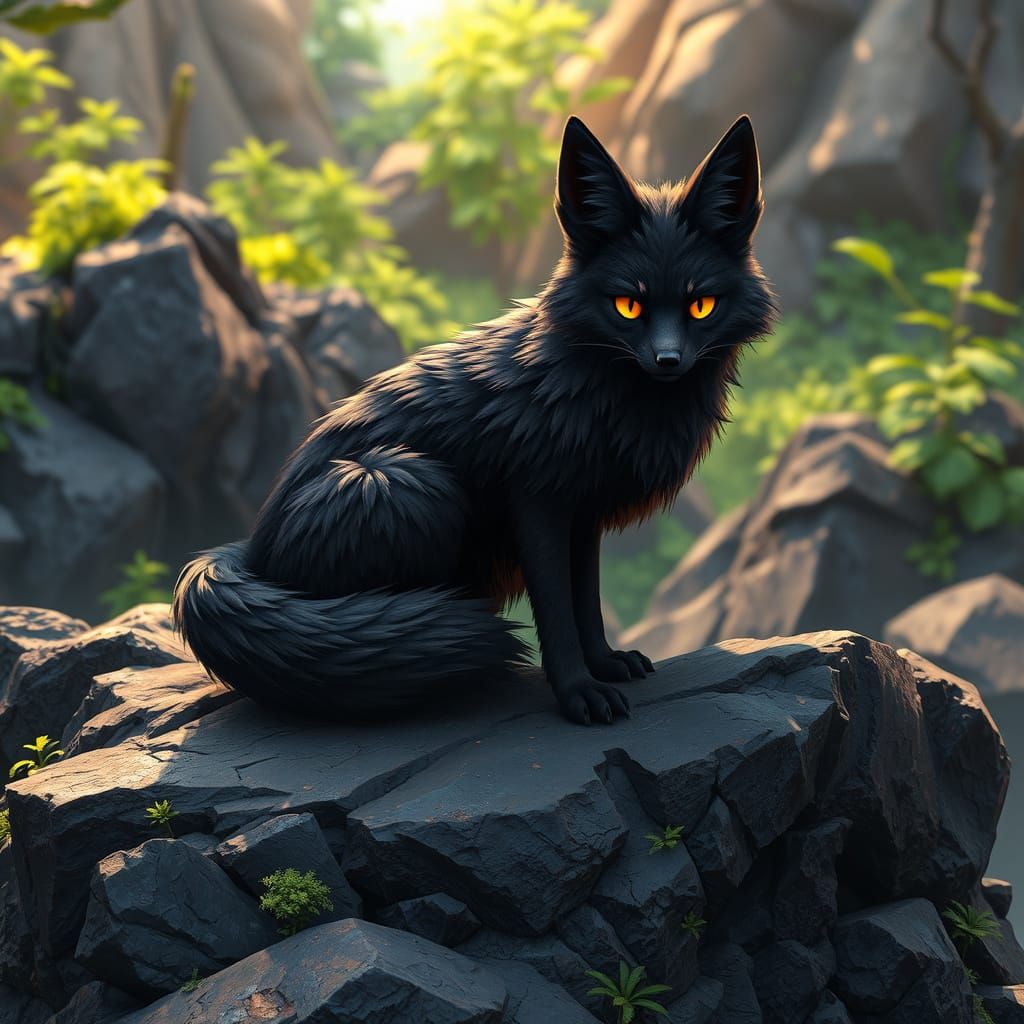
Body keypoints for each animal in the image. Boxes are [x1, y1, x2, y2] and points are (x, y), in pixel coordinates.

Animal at [173, 114, 775, 726]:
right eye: (628, 306)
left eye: (701, 305)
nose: (667, 360)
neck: (593, 391)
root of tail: (250, 547)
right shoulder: (536, 505)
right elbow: (557, 611)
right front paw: (578, 693)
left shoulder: (584, 511)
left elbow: (587, 602)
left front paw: (605, 664)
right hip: (402, 482)